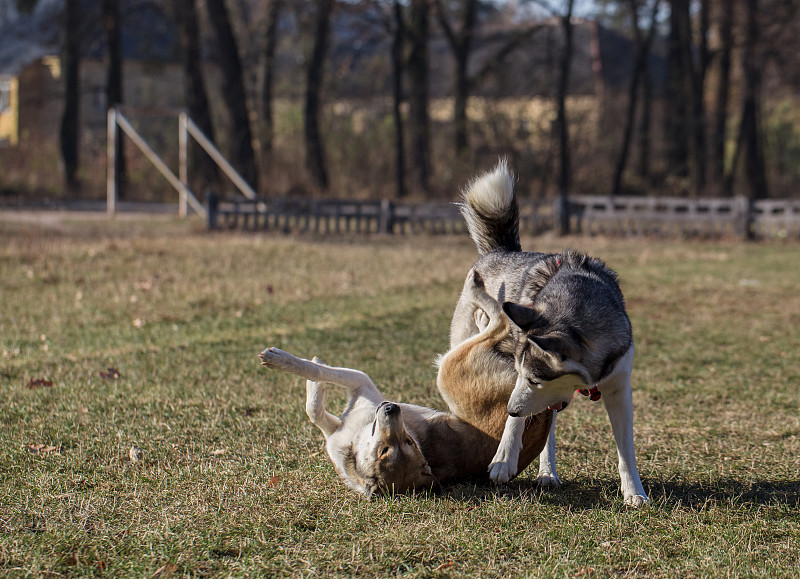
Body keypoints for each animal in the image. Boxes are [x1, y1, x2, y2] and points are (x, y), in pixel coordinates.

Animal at [258, 270, 552, 496]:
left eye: (408, 442)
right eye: (386, 450)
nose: (391, 408)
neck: (355, 440)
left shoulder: (362, 384)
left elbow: (318, 373)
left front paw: (279, 359)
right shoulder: (337, 428)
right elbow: (314, 409)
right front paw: (312, 382)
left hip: (449, 368)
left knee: (501, 318)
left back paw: (475, 286)